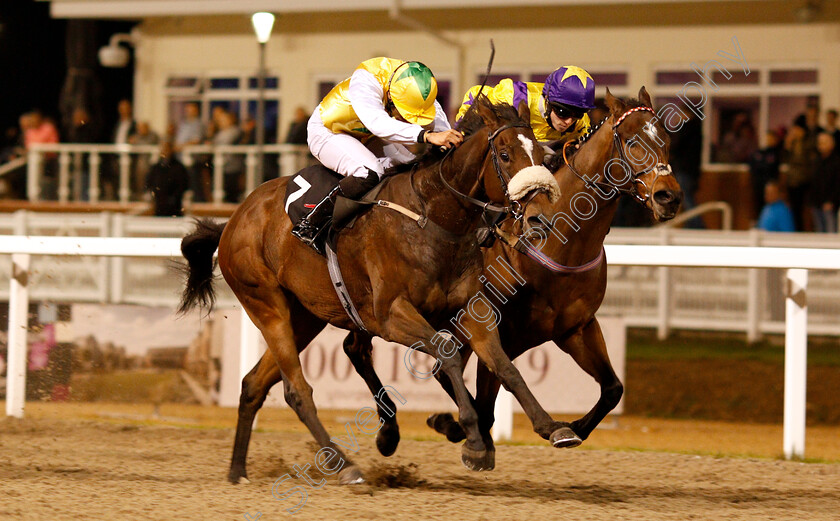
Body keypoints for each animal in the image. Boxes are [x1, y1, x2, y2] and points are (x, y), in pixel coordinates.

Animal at [178, 97, 584, 484]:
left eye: (543, 156)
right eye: (504, 155)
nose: (539, 218)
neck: (434, 217)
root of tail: (233, 220)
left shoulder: (471, 309)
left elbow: (505, 366)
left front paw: (552, 426)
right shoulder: (391, 314)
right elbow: (448, 353)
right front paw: (473, 438)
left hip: (306, 316)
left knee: (254, 384)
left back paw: (238, 470)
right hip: (266, 304)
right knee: (297, 390)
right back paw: (344, 465)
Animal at [342, 86, 684, 468]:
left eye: (666, 139)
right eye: (631, 140)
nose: (668, 196)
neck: (560, 245)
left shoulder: (576, 329)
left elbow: (612, 389)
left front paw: (570, 428)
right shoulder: (497, 327)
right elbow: (487, 394)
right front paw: (468, 436)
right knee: (365, 349)